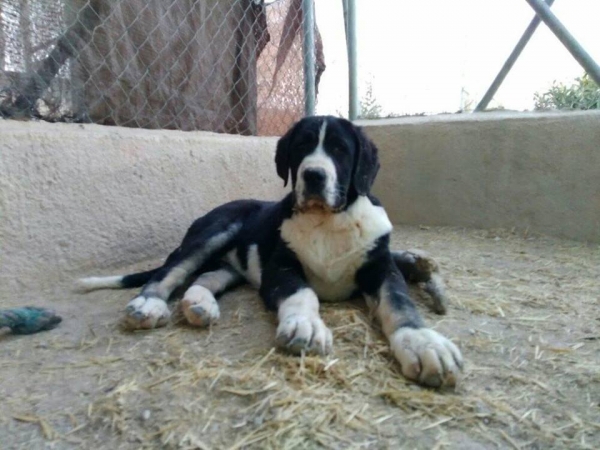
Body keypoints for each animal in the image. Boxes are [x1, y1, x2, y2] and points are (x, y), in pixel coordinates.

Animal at [78, 115, 464, 386]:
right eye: (301, 147)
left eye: (340, 149)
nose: (313, 176)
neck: (326, 221)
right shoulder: (280, 269)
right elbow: (303, 293)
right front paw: (305, 325)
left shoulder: (380, 267)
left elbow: (399, 302)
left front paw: (423, 344)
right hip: (214, 232)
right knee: (170, 271)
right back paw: (148, 304)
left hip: (232, 266)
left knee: (205, 277)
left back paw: (200, 305)